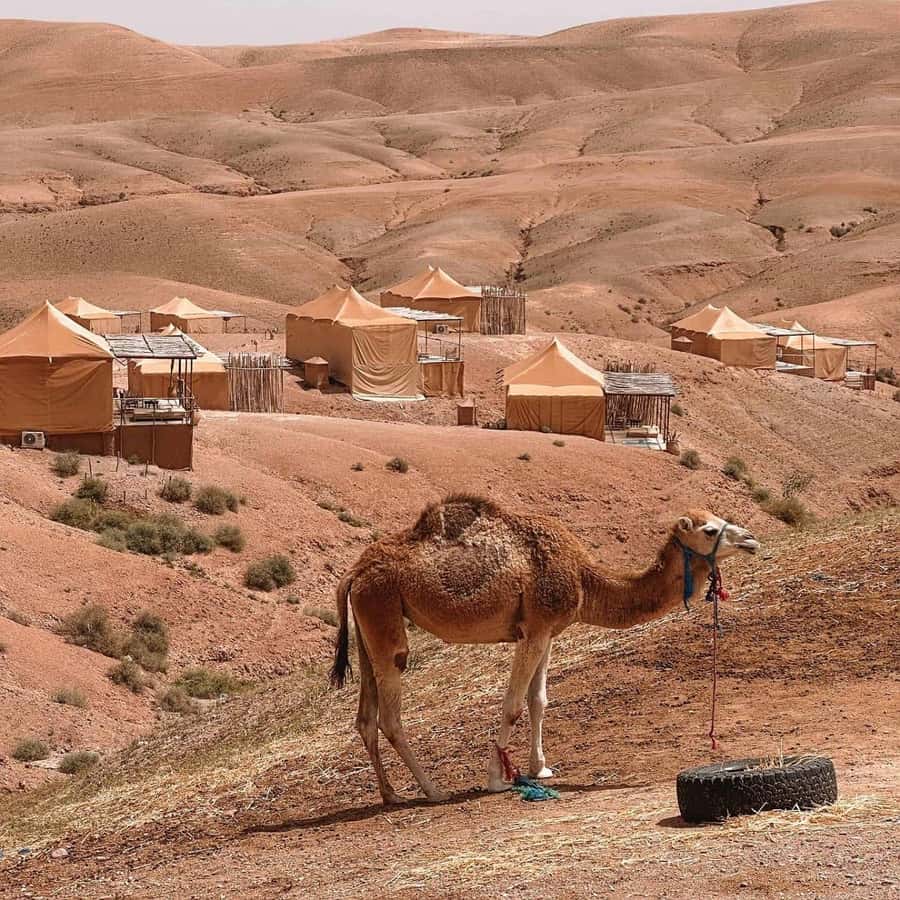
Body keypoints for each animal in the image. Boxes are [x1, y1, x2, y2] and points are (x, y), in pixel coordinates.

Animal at [330, 494, 759, 804]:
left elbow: (538, 701)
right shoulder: (534, 631)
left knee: (365, 718)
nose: (751, 539)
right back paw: (433, 791)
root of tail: (353, 572)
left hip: (369, 626)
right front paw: (497, 779)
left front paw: (539, 769)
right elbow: (513, 706)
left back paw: (391, 794)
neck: (585, 577)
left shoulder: (547, 632)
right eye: (710, 530)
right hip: (383, 614)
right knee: (390, 717)